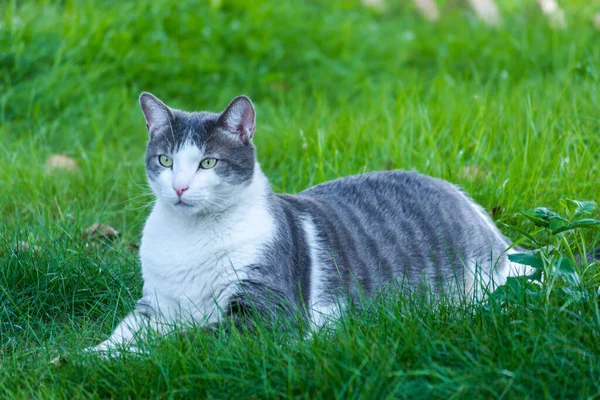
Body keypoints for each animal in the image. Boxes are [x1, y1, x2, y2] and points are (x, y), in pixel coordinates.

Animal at [85, 93, 528, 354]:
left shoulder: (267, 314)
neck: (191, 238)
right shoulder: (155, 306)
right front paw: (88, 356)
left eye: (208, 162)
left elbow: (180, 341)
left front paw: (130, 358)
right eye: (165, 160)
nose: (179, 187)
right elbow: (122, 334)